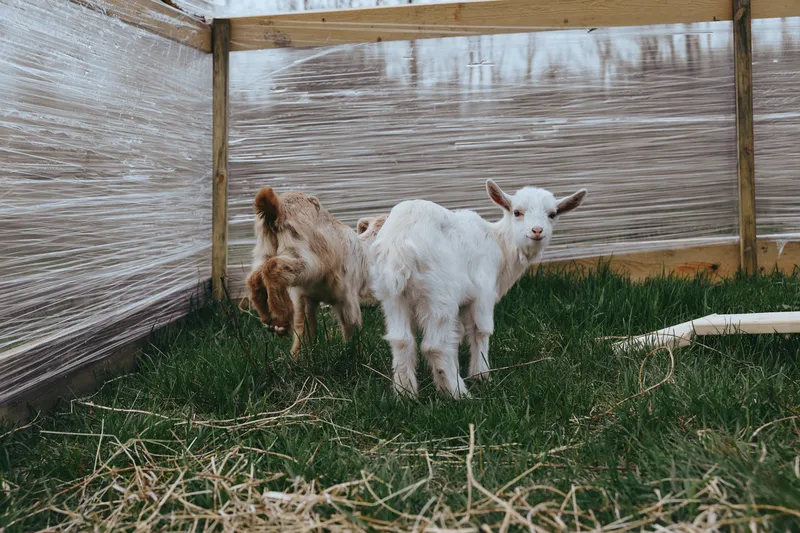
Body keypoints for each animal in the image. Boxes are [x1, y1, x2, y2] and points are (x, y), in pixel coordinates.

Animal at [246, 186, 385, 357]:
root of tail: (275, 208)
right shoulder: (347, 292)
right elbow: (351, 321)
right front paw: (356, 351)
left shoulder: (306, 295)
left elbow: (304, 325)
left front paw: (299, 356)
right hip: (306, 251)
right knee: (276, 267)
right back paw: (280, 319)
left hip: (265, 247)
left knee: (255, 274)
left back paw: (267, 315)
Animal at [370, 180, 587, 398]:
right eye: (517, 212)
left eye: (552, 214)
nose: (537, 231)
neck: (499, 243)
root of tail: (399, 246)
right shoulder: (483, 291)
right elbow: (480, 330)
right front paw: (481, 375)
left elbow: (456, 336)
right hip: (440, 293)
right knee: (435, 346)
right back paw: (459, 393)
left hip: (392, 295)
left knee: (401, 340)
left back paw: (406, 393)